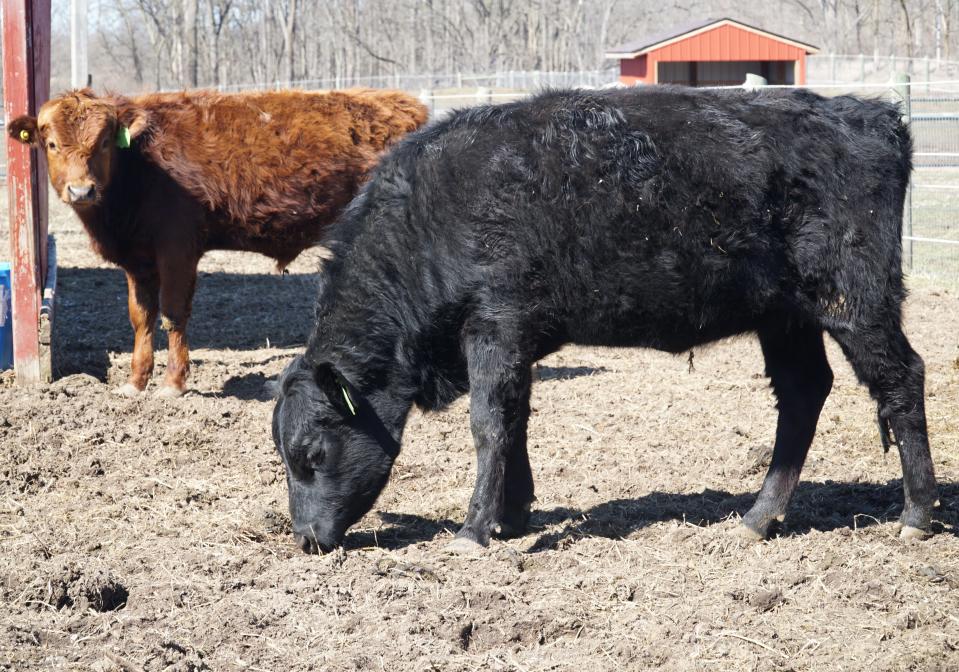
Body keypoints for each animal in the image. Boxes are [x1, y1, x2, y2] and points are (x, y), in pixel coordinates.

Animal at [8, 87, 428, 396]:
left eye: (104, 143)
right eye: (51, 144)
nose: (82, 190)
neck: (139, 169)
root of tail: (405, 104)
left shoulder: (178, 249)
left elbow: (173, 312)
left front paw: (173, 384)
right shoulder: (137, 259)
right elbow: (141, 317)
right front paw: (135, 383)